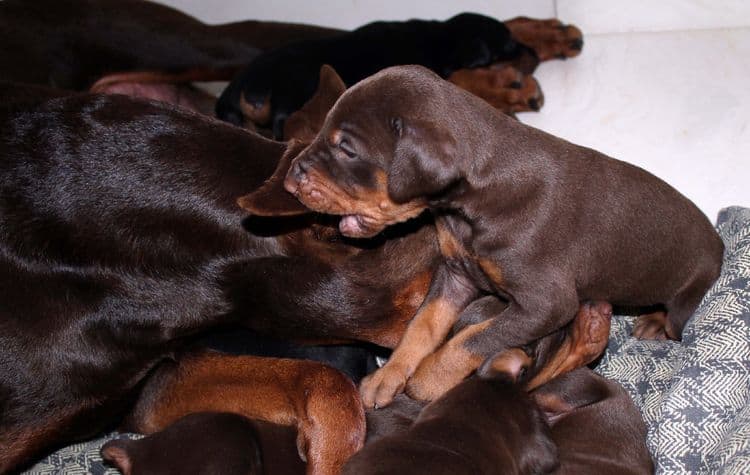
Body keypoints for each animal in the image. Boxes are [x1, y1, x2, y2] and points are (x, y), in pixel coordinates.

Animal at [214, 13, 584, 136]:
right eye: (505, 52)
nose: (532, 55)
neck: (438, 40)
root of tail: (233, 94)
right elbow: (459, 79)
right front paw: (511, 86)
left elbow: (510, 21)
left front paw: (551, 35)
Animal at [284, 64, 728, 410]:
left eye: (347, 149)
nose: (290, 178)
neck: (473, 201)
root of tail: (717, 237)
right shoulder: (455, 274)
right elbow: (421, 328)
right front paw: (388, 376)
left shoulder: (546, 304)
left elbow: (475, 338)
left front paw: (428, 381)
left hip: (689, 290)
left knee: (676, 318)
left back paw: (656, 322)